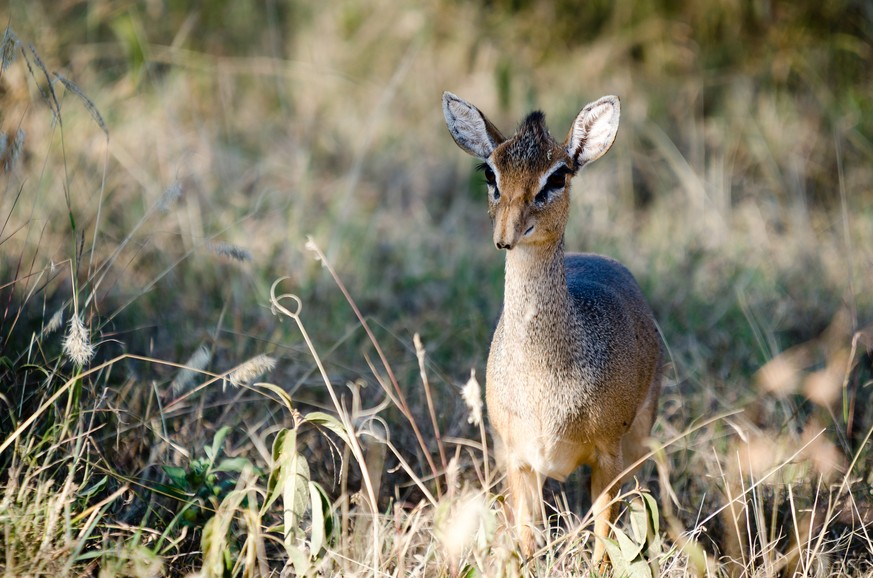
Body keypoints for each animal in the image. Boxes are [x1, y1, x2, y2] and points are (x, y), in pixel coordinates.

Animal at [442, 91, 660, 564]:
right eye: (490, 171)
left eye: (558, 175)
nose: (506, 235)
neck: (544, 383)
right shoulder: (516, 457)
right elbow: (527, 544)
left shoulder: (608, 455)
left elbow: (604, 546)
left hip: (640, 439)